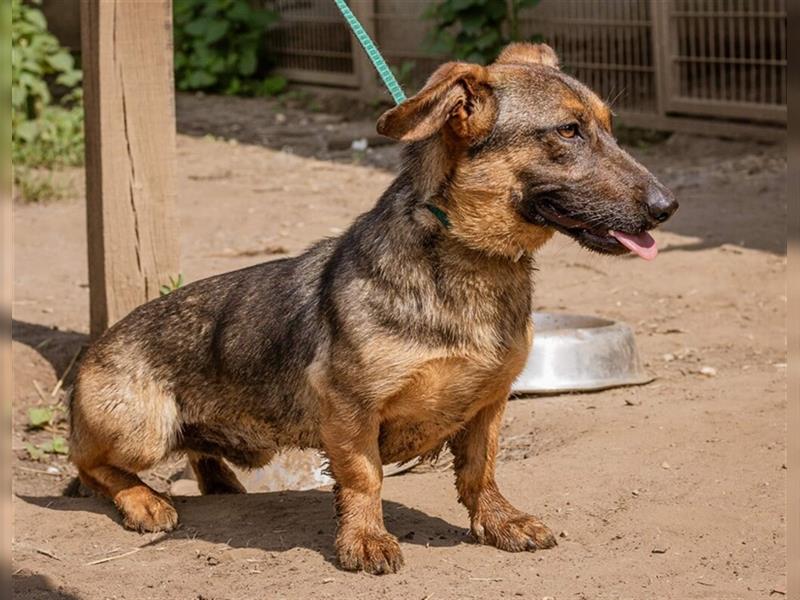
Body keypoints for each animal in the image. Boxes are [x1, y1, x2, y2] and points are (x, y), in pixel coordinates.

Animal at [72, 42, 680, 572]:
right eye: (568, 131)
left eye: (609, 127)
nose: (668, 206)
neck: (470, 259)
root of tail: (94, 347)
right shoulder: (350, 405)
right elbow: (364, 477)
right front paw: (364, 540)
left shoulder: (489, 401)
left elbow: (481, 471)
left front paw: (498, 522)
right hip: (144, 429)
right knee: (91, 466)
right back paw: (145, 500)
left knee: (194, 455)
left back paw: (221, 483)